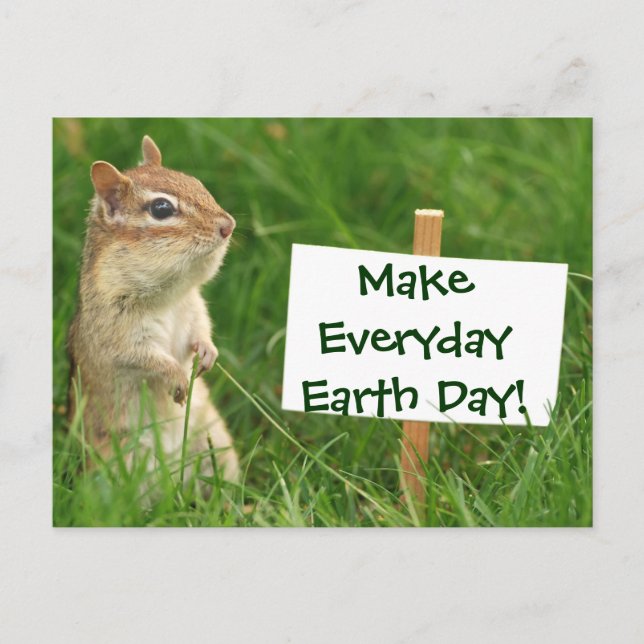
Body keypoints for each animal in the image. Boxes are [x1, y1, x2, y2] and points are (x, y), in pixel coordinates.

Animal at [67, 135, 240, 484]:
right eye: (162, 209)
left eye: (197, 183)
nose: (228, 225)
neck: (168, 297)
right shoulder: (117, 335)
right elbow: (144, 358)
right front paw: (177, 377)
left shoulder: (195, 309)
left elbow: (202, 332)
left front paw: (208, 352)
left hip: (218, 445)